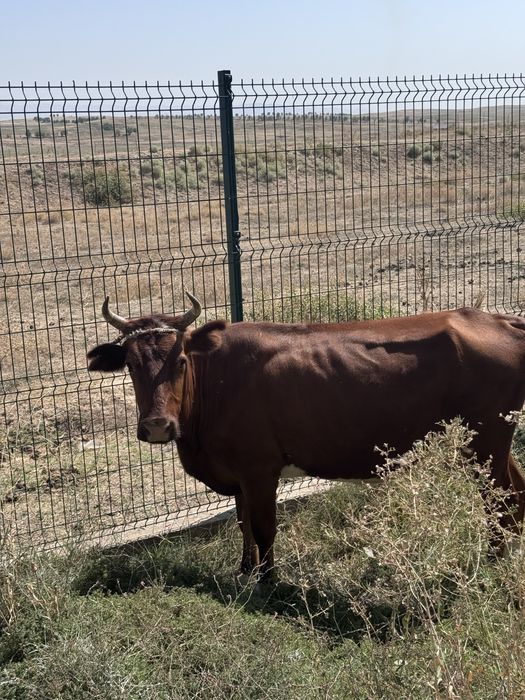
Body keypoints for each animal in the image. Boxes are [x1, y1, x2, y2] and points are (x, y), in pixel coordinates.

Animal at [87, 293, 525, 579]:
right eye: (130, 364)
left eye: (180, 360)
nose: (158, 426)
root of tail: (495, 319)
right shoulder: (239, 473)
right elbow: (243, 524)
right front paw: (244, 571)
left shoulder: (259, 469)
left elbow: (263, 527)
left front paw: (268, 582)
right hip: (493, 440)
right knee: (516, 492)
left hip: (484, 441)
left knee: (500, 501)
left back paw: (492, 561)